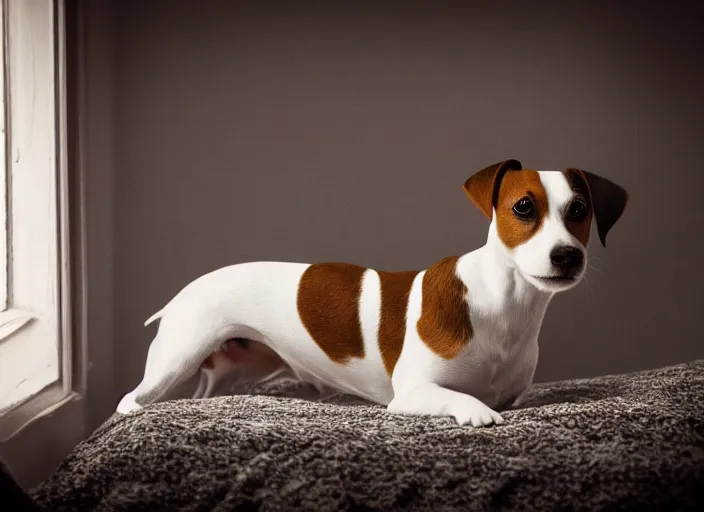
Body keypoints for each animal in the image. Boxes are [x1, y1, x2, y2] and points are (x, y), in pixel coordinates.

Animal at [115, 160, 628, 428]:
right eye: (523, 207)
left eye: (579, 210)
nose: (567, 256)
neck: (500, 305)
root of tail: (186, 290)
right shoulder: (414, 392)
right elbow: (463, 401)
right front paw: (476, 414)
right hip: (177, 356)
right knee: (131, 400)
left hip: (238, 365)